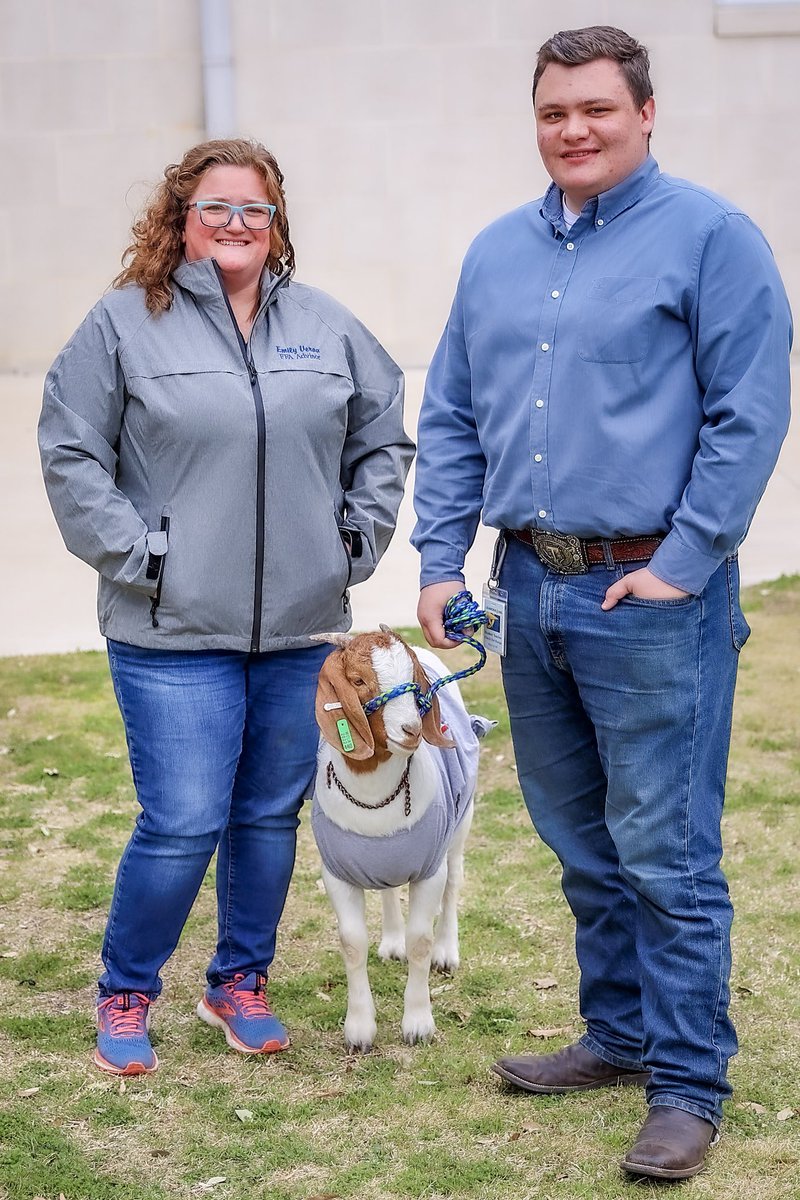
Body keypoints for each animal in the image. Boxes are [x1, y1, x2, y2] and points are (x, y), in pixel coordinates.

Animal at [309, 628, 491, 1051]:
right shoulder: (336, 874)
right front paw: (359, 1029)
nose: (411, 730)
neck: (374, 794)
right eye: (358, 681)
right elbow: (352, 943)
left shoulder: (428, 869)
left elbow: (420, 941)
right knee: (389, 890)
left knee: (454, 884)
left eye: (416, 681)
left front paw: (418, 1024)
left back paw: (447, 951)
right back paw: (391, 942)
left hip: (461, 823)